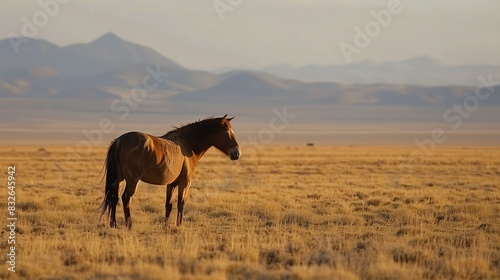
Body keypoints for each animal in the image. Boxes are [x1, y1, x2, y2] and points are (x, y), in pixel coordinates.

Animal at [98, 115, 239, 229]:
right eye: (226, 131)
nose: (237, 153)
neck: (188, 145)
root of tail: (119, 141)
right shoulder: (185, 183)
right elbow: (181, 204)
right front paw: (179, 225)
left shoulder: (171, 184)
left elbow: (169, 205)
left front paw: (166, 225)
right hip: (132, 180)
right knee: (126, 198)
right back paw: (129, 224)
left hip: (119, 180)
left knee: (114, 198)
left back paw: (113, 224)